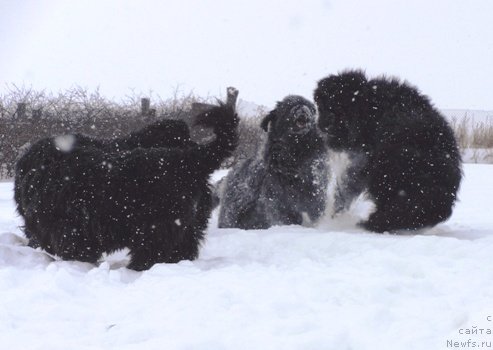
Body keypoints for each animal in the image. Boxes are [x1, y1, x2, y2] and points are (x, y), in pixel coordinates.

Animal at [218, 95, 326, 230]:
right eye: (288, 106)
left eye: (311, 108)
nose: (303, 109)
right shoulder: (276, 199)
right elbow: (286, 216)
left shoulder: (315, 191)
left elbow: (315, 209)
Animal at [316, 69, 462, 232]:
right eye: (321, 107)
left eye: (337, 110)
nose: (322, 125)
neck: (369, 108)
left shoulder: (363, 163)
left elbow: (345, 190)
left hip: (386, 168)